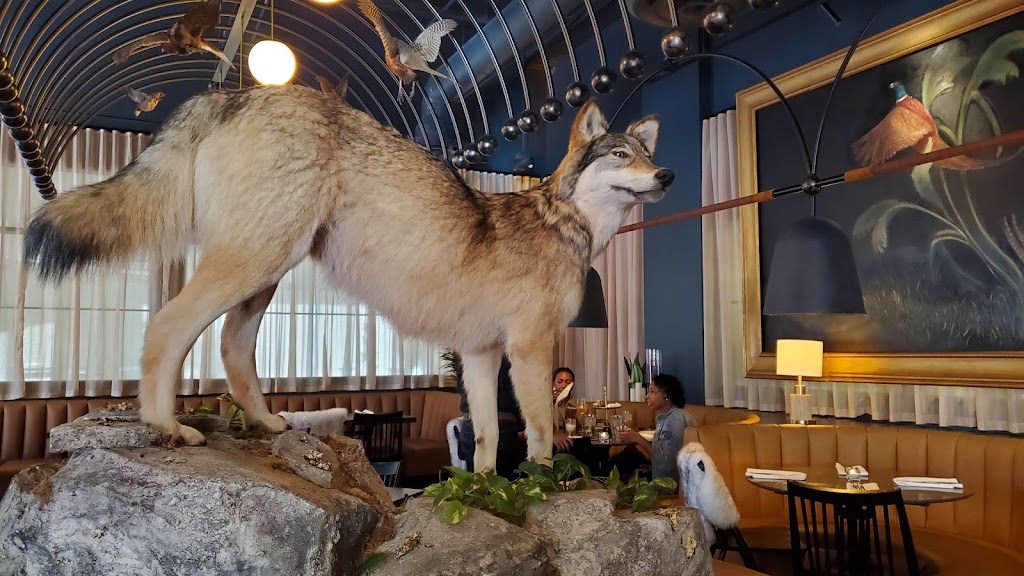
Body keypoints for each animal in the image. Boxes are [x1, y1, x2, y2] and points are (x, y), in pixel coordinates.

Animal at [23, 85, 673, 472]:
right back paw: (167, 427)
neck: (564, 223)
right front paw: (544, 489)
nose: (666, 175)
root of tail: (234, 90)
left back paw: (265, 423)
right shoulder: (530, 350)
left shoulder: (481, 355)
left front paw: (490, 494)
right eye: (621, 156)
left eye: (645, 154)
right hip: (255, 262)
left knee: (232, 345)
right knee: (166, 327)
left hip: (265, 273)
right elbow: (538, 436)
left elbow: (488, 439)